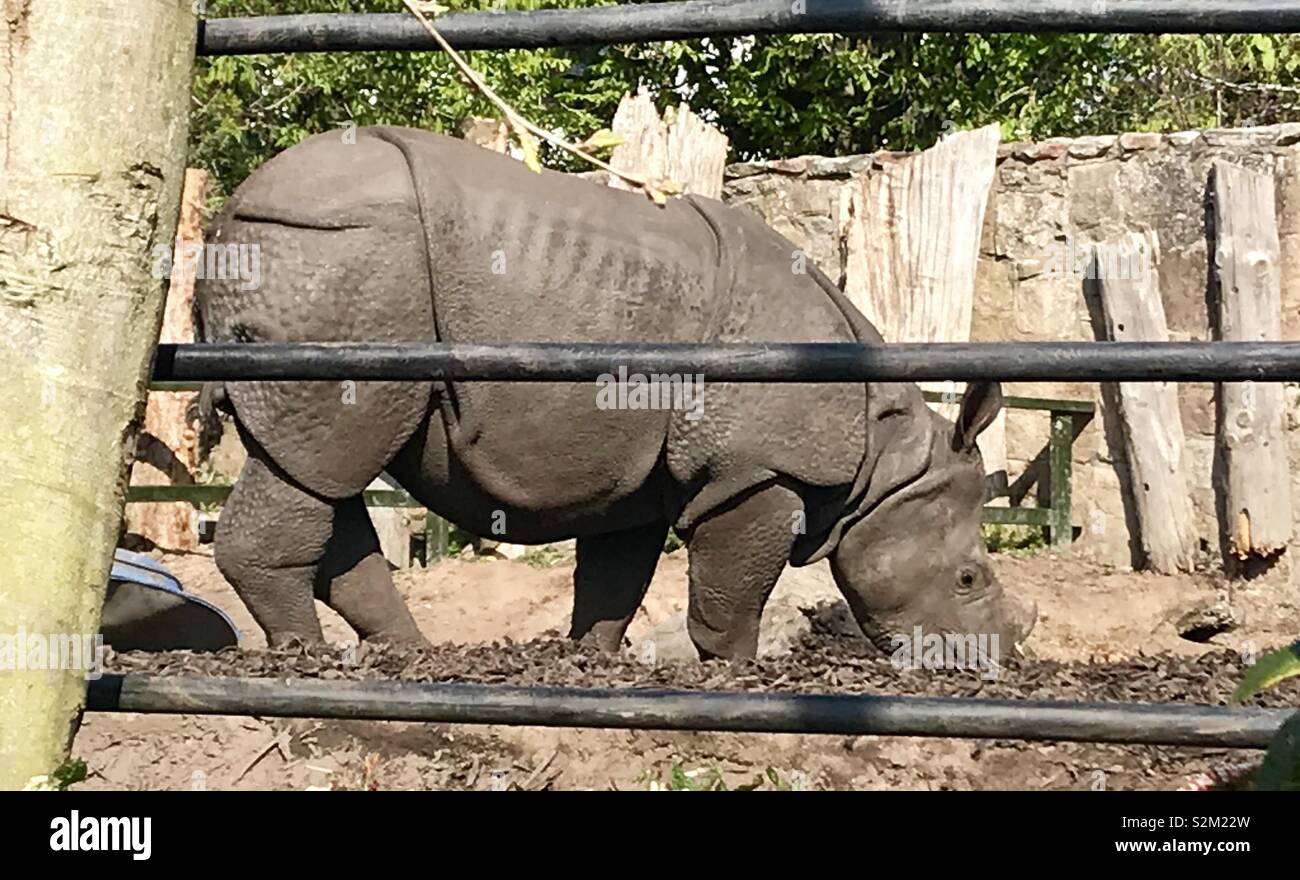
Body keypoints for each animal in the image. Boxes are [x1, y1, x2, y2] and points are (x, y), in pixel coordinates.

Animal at [195, 126, 1036, 660]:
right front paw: (738, 673)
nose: (987, 664)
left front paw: (594, 660)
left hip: (334, 266)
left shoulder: (642, 473)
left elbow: (616, 576)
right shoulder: (757, 470)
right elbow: (733, 592)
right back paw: (301, 659)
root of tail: (229, 212)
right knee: (324, 461)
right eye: (969, 578)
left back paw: (409, 655)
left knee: (319, 470)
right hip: (346, 262)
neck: (887, 457)